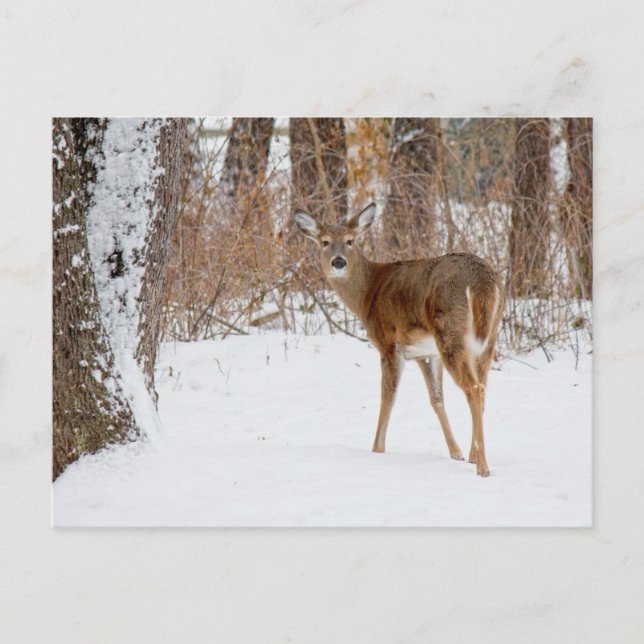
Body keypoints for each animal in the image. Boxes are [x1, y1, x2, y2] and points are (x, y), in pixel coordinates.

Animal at [294, 203, 504, 476]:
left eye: (350, 241)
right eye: (324, 241)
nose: (338, 261)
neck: (367, 293)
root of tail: (481, 281)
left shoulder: (388, 341)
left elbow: (388, 396)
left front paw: (377, 450)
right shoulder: (424, 352)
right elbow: (436, 398)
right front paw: (455, 453)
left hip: (449, 329)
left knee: (475, 388)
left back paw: (482, 467)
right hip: (488, 338)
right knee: (482, 386)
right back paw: (473, 456)